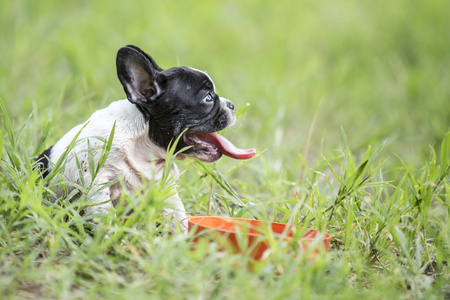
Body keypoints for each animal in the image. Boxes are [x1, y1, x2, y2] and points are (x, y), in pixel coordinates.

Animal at [35, 44, 256, 233]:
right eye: (208, 98)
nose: (232, 105)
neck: (144, 148)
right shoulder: (97, 181)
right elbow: (104, 214)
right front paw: (106, 238)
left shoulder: (167, 189)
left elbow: (178, 215)